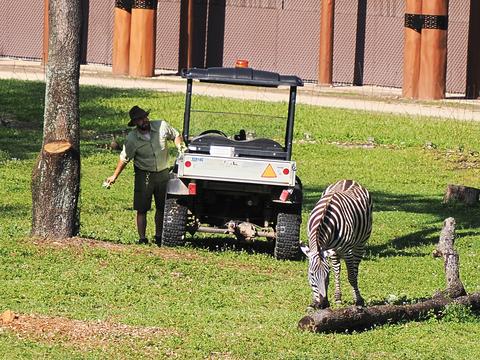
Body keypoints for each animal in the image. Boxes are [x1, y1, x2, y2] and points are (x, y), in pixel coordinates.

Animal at [302, 180, 374, 310]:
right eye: (311, 274)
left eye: (327, 274)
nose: (323, 304)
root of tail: (348, 180)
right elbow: (334, 272)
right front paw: (314, 302)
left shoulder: (347, 250)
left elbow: (351, 276)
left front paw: (358, 300)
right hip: (334, 251)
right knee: (337, 268)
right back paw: (338, 297)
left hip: (360, 243)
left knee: (355, 269)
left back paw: (357, 297)